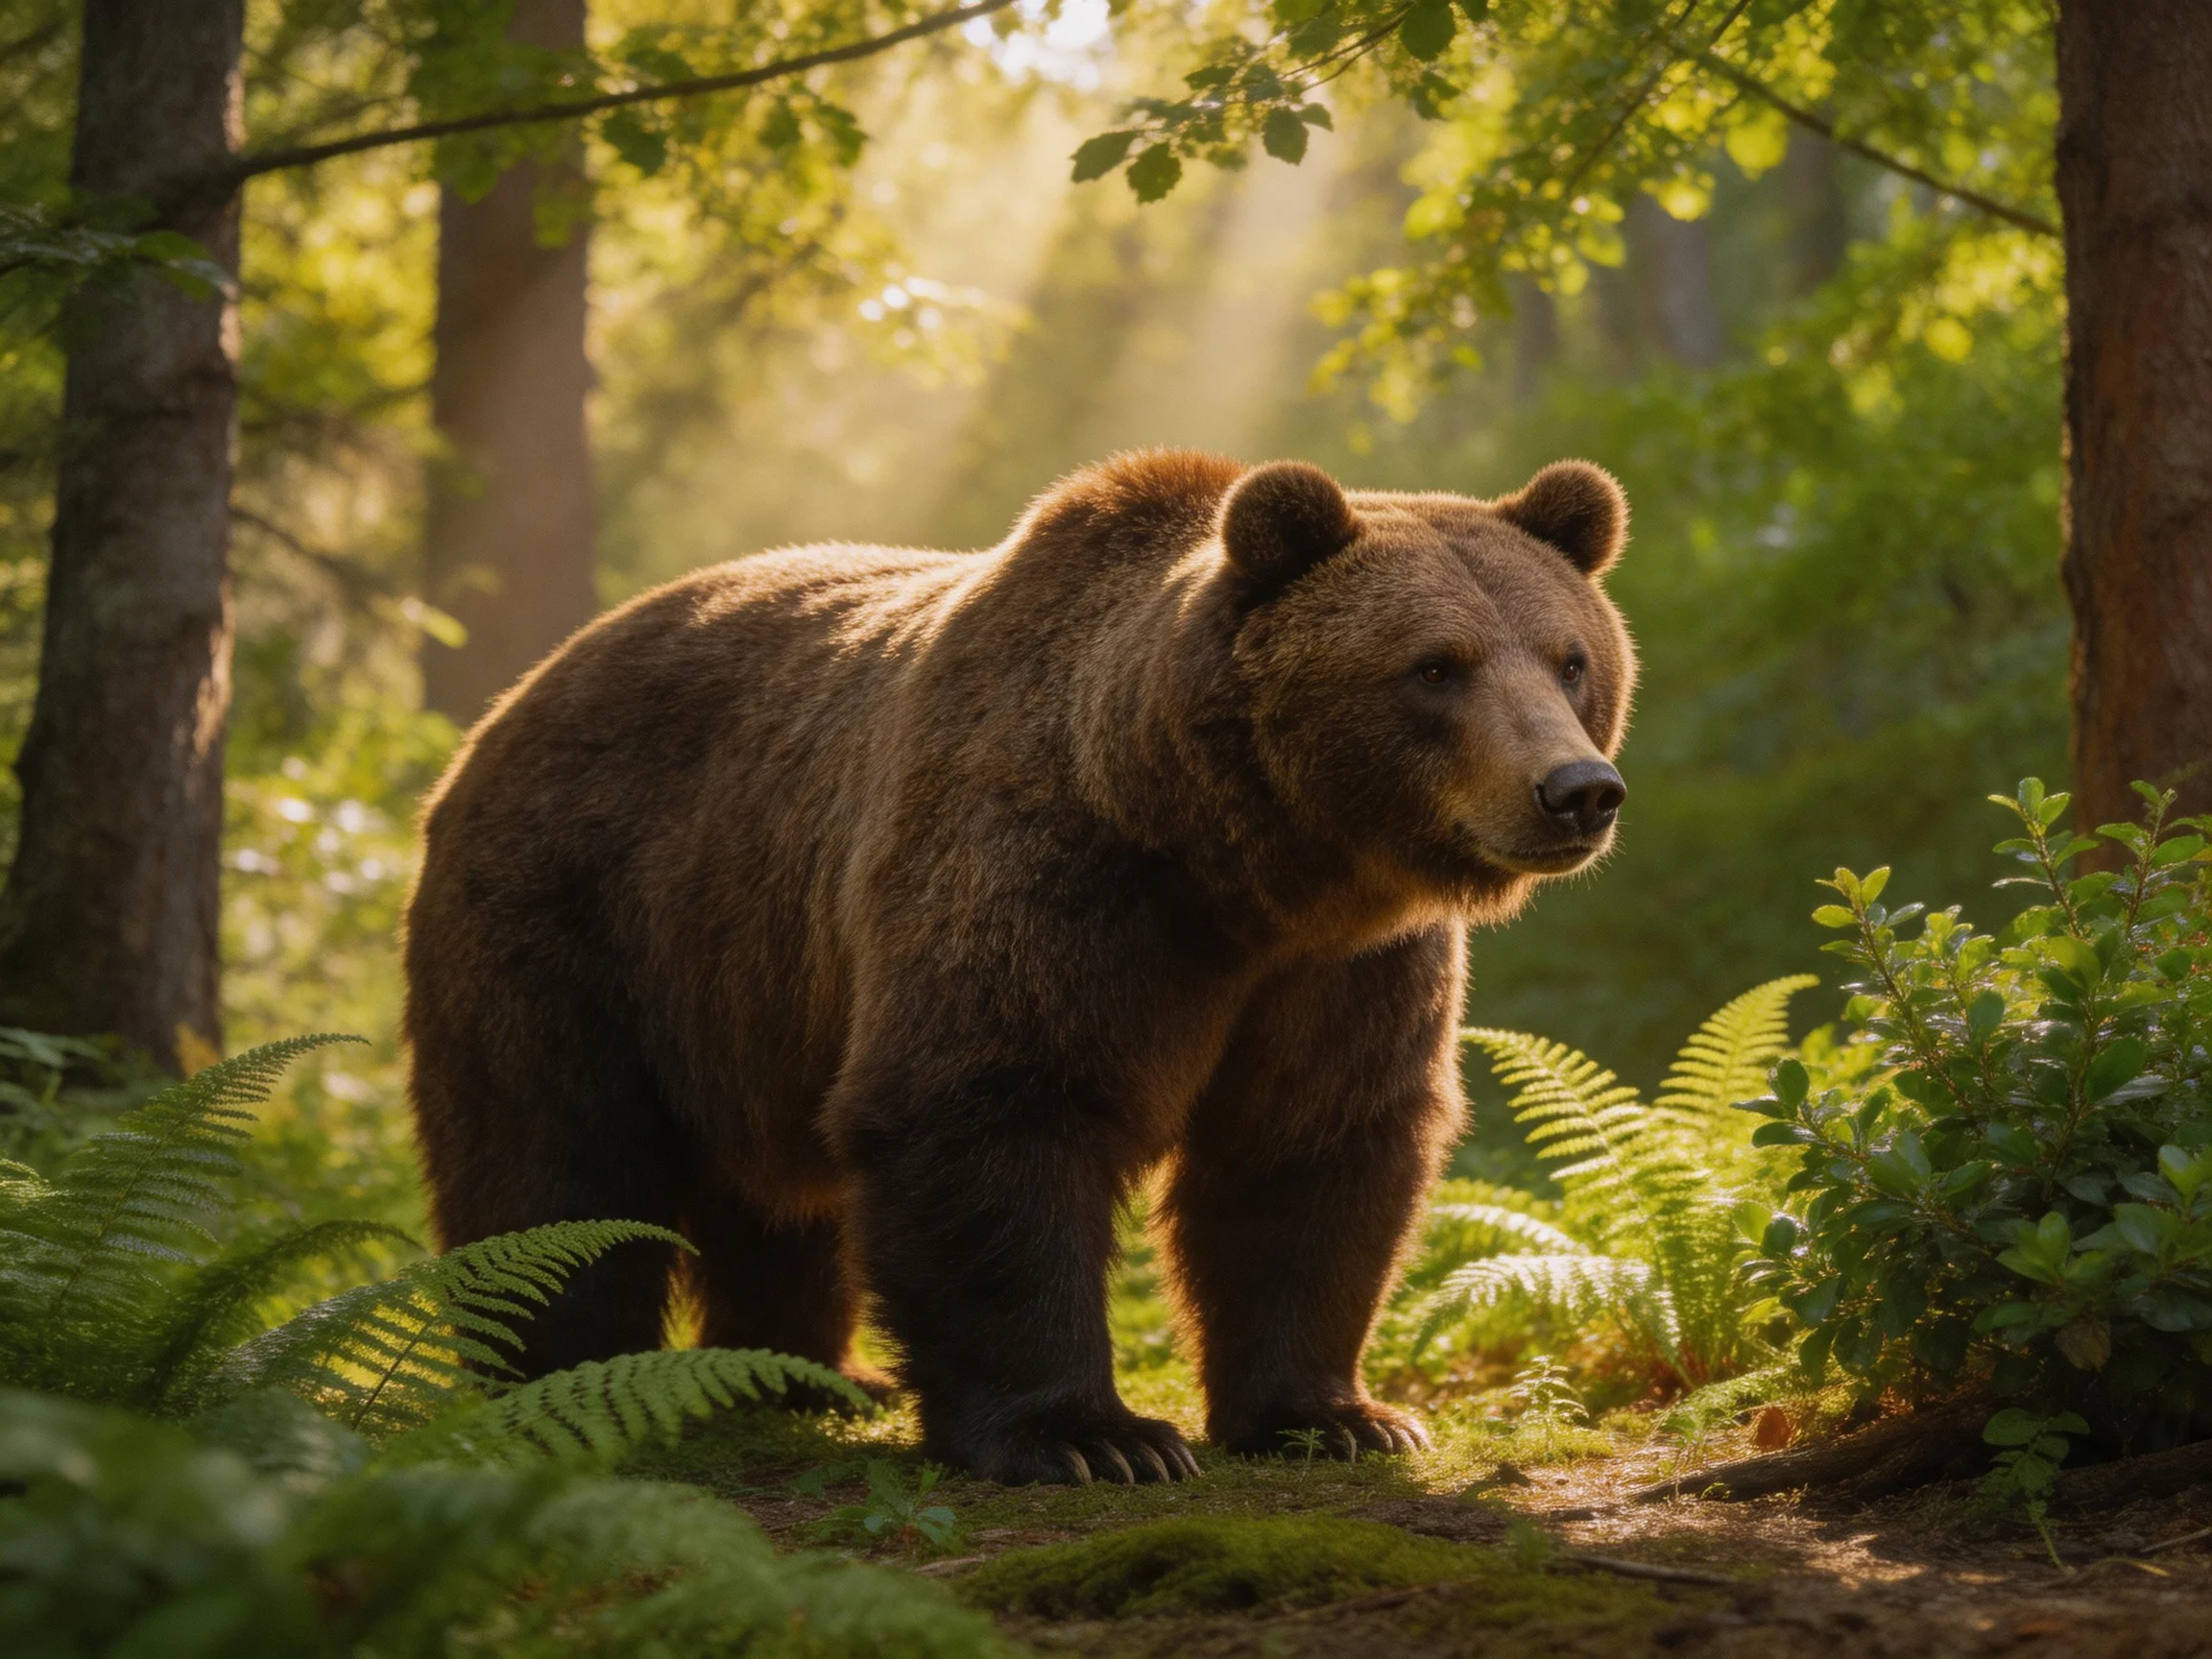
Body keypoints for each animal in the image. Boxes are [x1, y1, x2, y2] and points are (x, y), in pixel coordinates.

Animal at [403, 449, 1635, 1485]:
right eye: (1436, 667)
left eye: (1571, 658)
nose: (1577, 789)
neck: (1240, 864)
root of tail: (508, 704)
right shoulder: (1041, 877)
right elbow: (991, 1109)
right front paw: (1094, 1438)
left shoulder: (1341, 967)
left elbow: (1311, 1146)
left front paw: (1334, 1415)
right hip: (576, 916)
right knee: (554, 1163)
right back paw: (564, 1381)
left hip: (748, 986)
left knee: (777, 1203)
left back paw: (809, 1378)